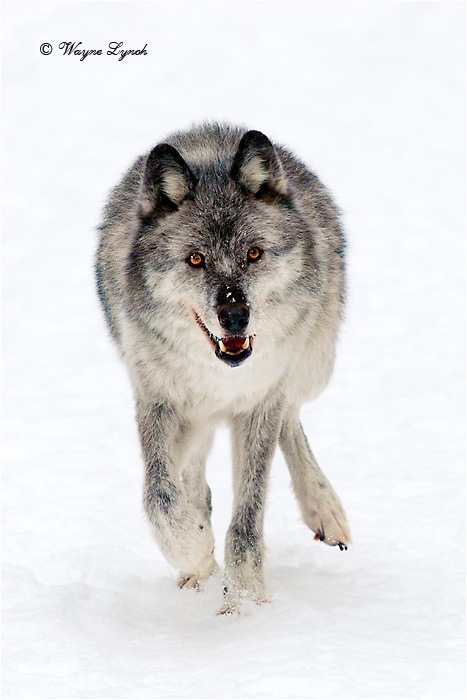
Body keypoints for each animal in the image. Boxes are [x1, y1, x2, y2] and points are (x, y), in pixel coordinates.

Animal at [96, 123, 350, 614]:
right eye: (196, 259)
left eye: (254, 254)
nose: (235, 316)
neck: (219, 373)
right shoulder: (157, 401)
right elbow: (158, 495)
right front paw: (194, 553)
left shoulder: (259, 403)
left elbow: (247, 520)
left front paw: (246, 599)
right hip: (195, 418)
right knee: (194, 482)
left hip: (314, 366)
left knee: (292, 418)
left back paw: (324, 508)